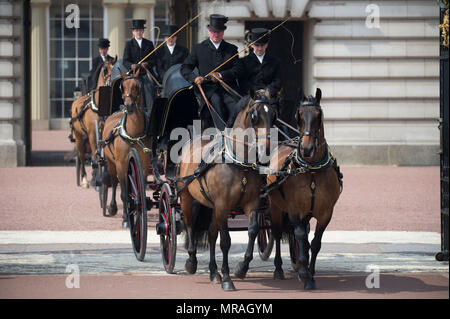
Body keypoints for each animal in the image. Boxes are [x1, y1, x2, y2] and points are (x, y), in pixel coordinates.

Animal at [70, 56, 116, 189]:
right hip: (79, 136)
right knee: (81, 155)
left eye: (116, 68)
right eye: (105, 69)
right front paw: (95, 178)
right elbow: (94, 154)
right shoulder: (92, 133)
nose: (111, 82)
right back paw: (85, 179)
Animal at [100, 69, 153, 226]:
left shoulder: (144, 163)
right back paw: (112, 207)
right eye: (122, 87)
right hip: (111, 163)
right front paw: (126, 219)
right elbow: (123, 193)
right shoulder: (121, 163)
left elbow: (140, 186)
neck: (133, 134)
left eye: (137, 86)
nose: (128, 105)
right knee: (113, 181)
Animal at [178, 89, 276, 292]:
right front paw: (227, 279)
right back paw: (192, 262)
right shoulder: (223, 205)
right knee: (190, 225)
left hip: (212, 206)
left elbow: (252, 231)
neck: (239, 163)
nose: (267, 149)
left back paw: (213, 273)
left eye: (273, 114)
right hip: (186, 197)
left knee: (211, 233)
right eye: (254, 116)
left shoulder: (251, 203)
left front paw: (241, 268)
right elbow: (225, 241)